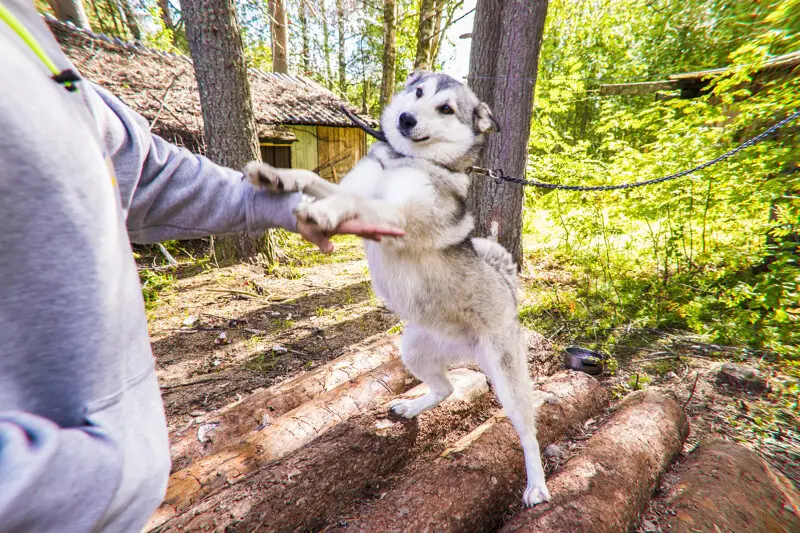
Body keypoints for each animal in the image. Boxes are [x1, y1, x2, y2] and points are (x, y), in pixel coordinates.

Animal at [245, 69, 552, 502]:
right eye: (418, 92)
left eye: (446, 108)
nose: (407, 119)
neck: (407, 158)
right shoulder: (355, 185)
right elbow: (315, 178)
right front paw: (278, 176)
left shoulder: (393, 215)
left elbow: (354, 204)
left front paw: (323, 211)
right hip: (414, 351)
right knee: (446, 388)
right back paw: (411, 408)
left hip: (507, 380)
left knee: (527, 429)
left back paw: (536, 483)